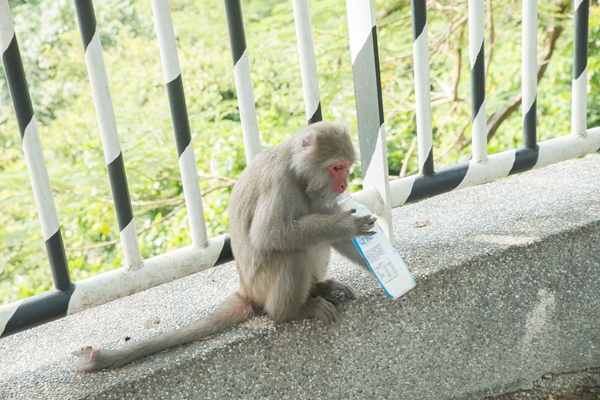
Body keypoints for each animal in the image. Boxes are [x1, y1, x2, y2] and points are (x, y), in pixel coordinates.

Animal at [74, 122, 376, 372]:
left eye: (347, 166)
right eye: (336, 168)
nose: (344, 184)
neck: (299, 174)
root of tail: (246, 291)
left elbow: (333, 235)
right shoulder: (279, 183)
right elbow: (268, 234)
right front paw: (346, 224)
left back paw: (318, 288)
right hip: (262, 285)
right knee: (293, 253)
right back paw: (294, 311)